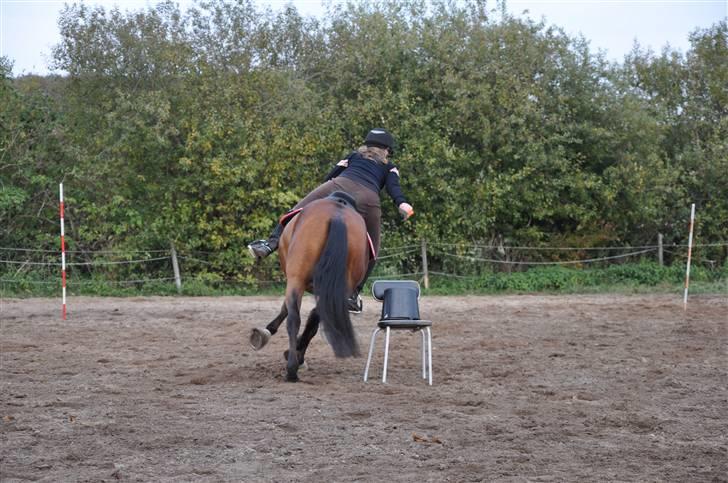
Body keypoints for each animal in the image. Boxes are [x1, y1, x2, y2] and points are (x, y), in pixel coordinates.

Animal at [249, 193, 370, 382]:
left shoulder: (294, 279)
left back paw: (292, 368)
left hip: (298, 280)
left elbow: (286, 310)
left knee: (295, 319)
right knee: (306, 320)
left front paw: (266, 333)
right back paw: (294, 362)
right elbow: (311, 323)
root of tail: (337, 216)